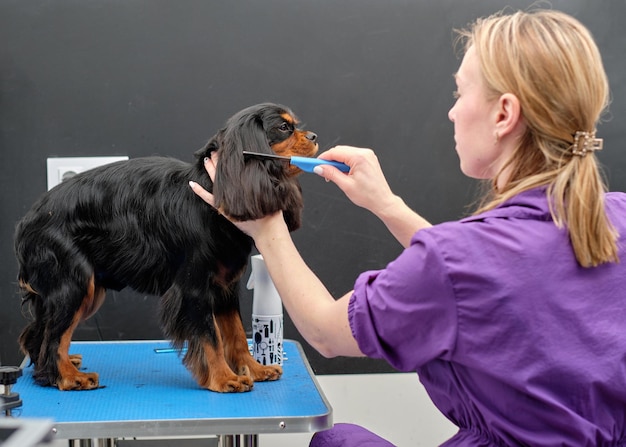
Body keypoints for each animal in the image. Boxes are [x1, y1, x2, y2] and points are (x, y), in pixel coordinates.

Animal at [14, 103, 316, 394]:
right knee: (54, 337)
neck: (213, 191)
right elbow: (211, 338)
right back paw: (67, 377)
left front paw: (253, 369)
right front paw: (224, 378)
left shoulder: (225, 288)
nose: (314, 136)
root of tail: (27, 220)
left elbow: (237, 334)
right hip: (76, 284)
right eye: (284, 127)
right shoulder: (194, 288)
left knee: (40, 334)